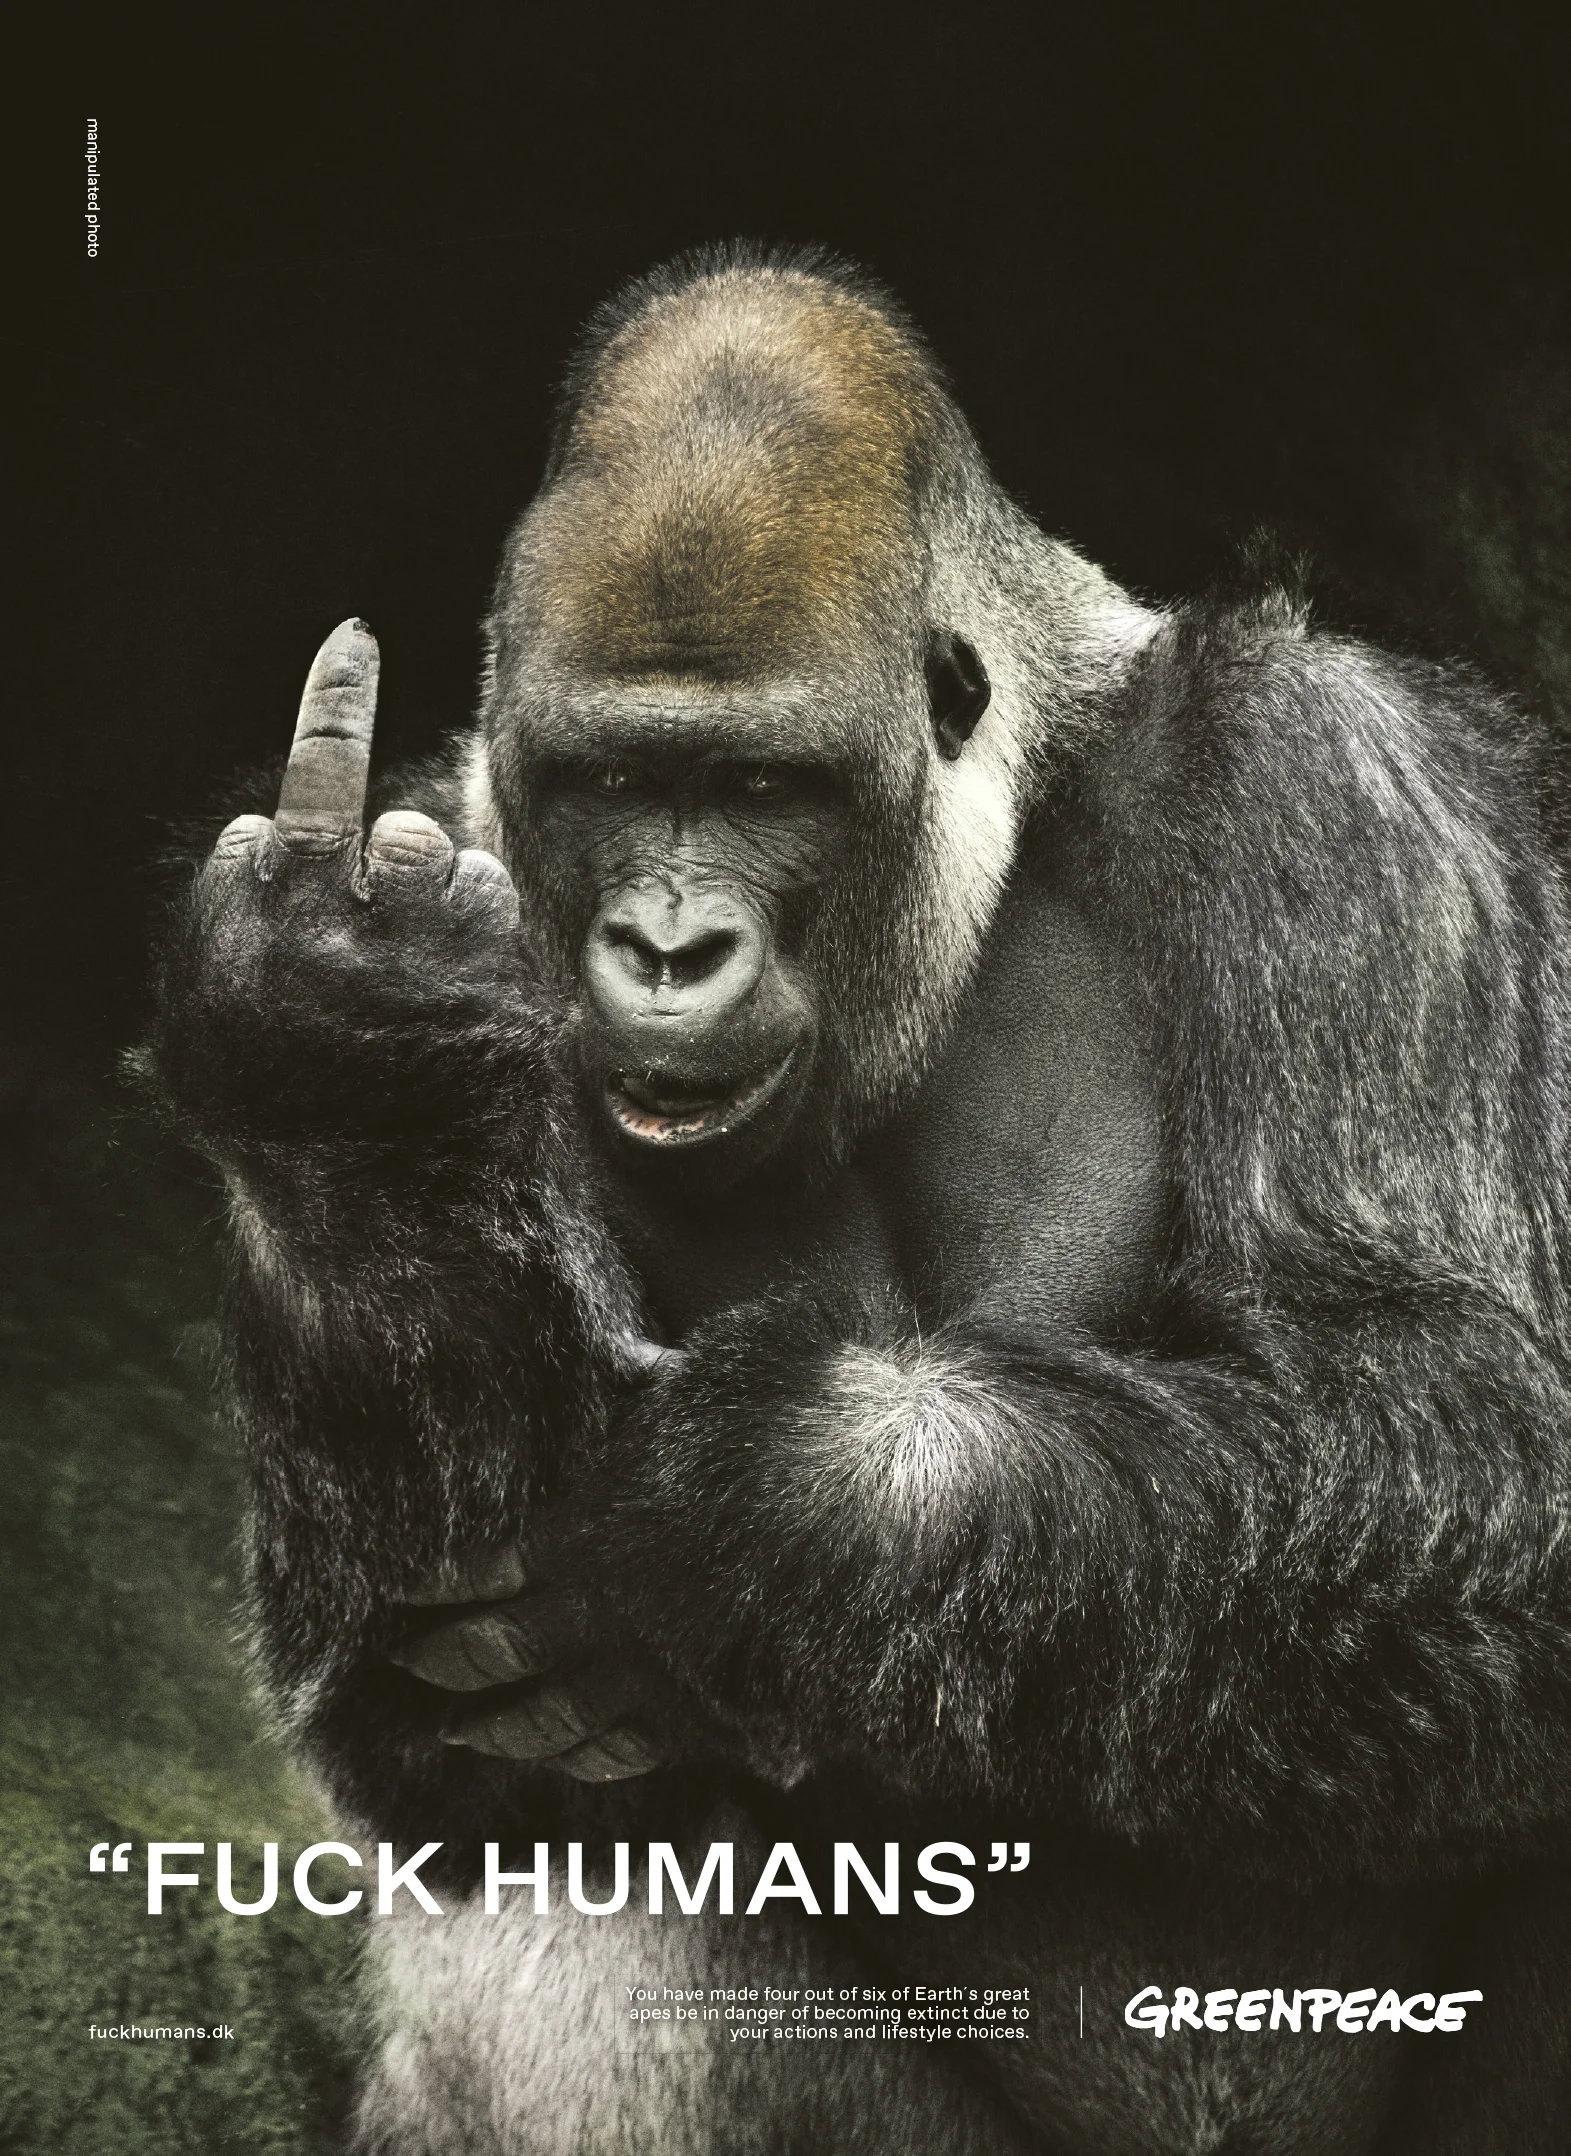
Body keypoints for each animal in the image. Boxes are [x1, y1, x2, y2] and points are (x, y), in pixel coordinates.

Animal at [143, 246, 1571, 2155]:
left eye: (761, 787)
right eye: (611, 782)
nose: (667, 947)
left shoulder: (1342, 784)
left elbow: (1465, 1423)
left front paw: (747, 1506)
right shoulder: (467, 830)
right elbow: (413, 1724)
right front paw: (345, 1082)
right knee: (577, 1883)